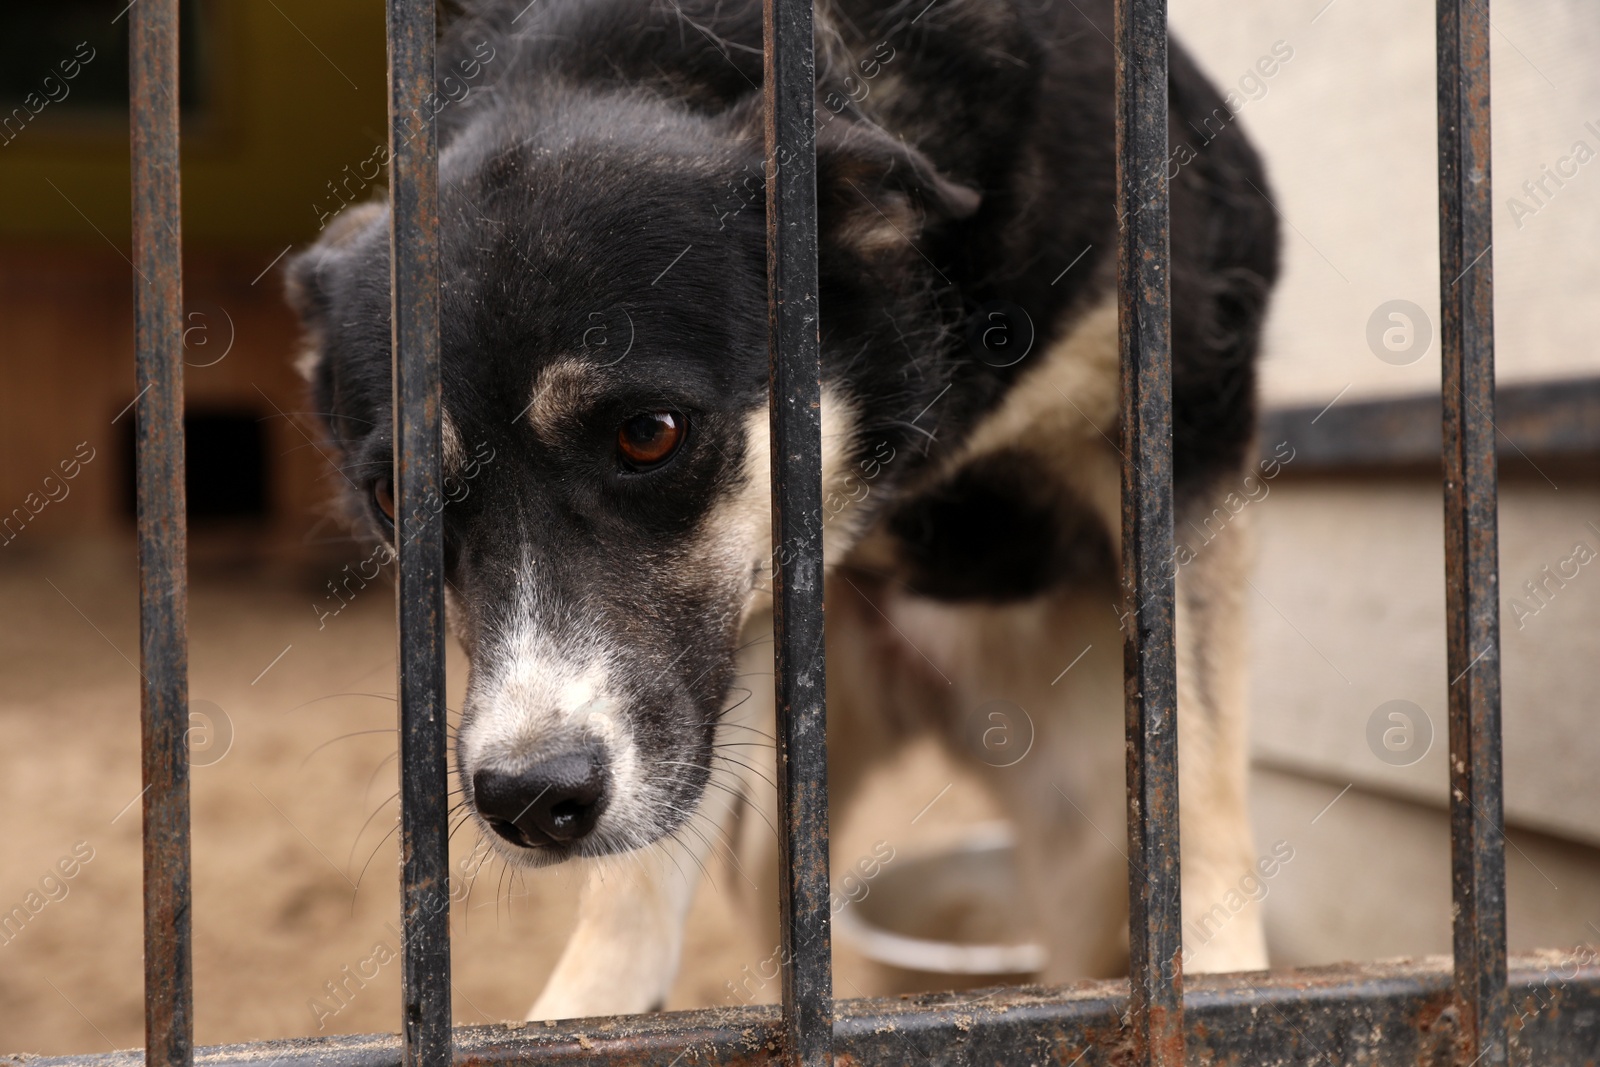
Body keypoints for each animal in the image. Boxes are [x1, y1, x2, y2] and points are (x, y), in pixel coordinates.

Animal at [288, 0, 1280, 1023]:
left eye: (649, 434)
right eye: (393, 497)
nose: (527, 798)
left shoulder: (1188, 432)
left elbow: (1197, 770)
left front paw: (1222, 985)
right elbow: (639, 868)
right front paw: (588, 1008)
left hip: (1077, 818)